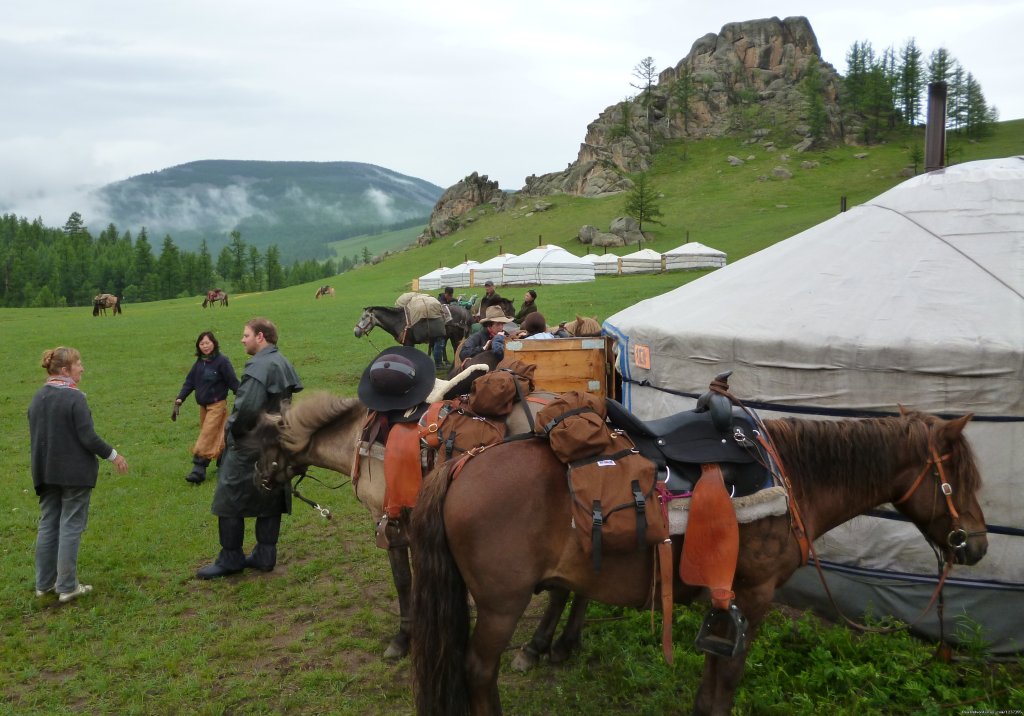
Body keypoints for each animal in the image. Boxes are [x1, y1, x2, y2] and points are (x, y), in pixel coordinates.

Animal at [407, 409, 983, 716]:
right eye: (960, 478)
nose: (974, 545)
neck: (793, 477)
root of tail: (462, 464)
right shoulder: (756, 593)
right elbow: (728, 677)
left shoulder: (726, 596)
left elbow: (712, 672)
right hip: (501, 604)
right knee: (478, 669)